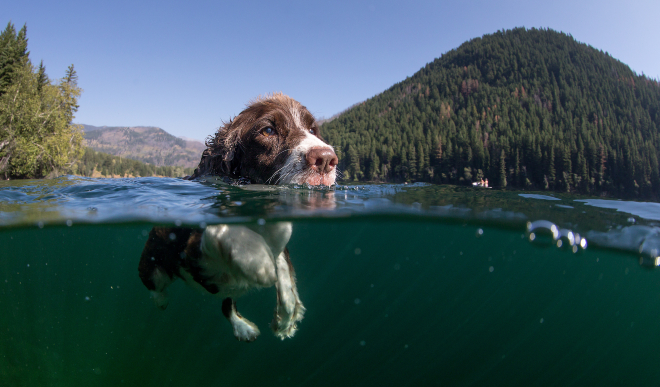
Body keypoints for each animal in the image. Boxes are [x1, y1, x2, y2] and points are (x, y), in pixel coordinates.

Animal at [137, 94, 338, 342]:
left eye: (312, 129)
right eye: (268, 130)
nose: (326, 159)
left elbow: (284, 268)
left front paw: (285, 319)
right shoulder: (193, 249)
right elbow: (224, 231)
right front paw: (260, 264)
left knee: (227, 303)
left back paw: (244, 328)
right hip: (153, 260)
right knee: (154, 282)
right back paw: (162, 300)